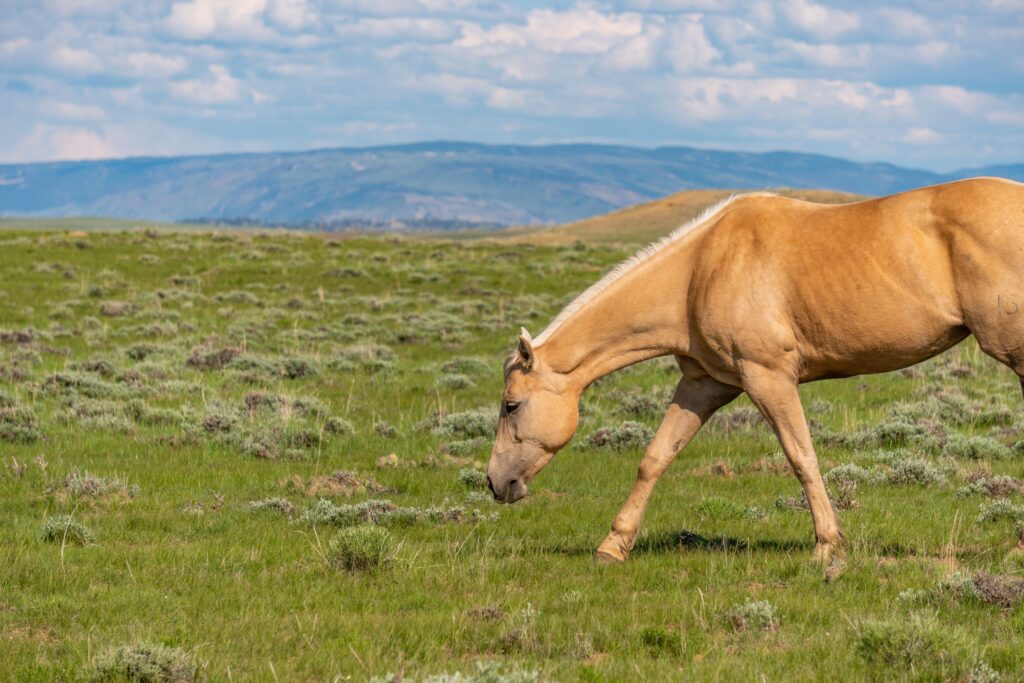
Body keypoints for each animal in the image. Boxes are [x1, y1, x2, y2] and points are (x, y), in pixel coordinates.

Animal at [487, 178, 1024, 565]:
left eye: (512, 406)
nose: (495, 483)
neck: (700, 268)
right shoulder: (704, 384)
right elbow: (655, 457)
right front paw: (613, 546)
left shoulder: (767, 378)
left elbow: (801, 457)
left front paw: (827, 547)